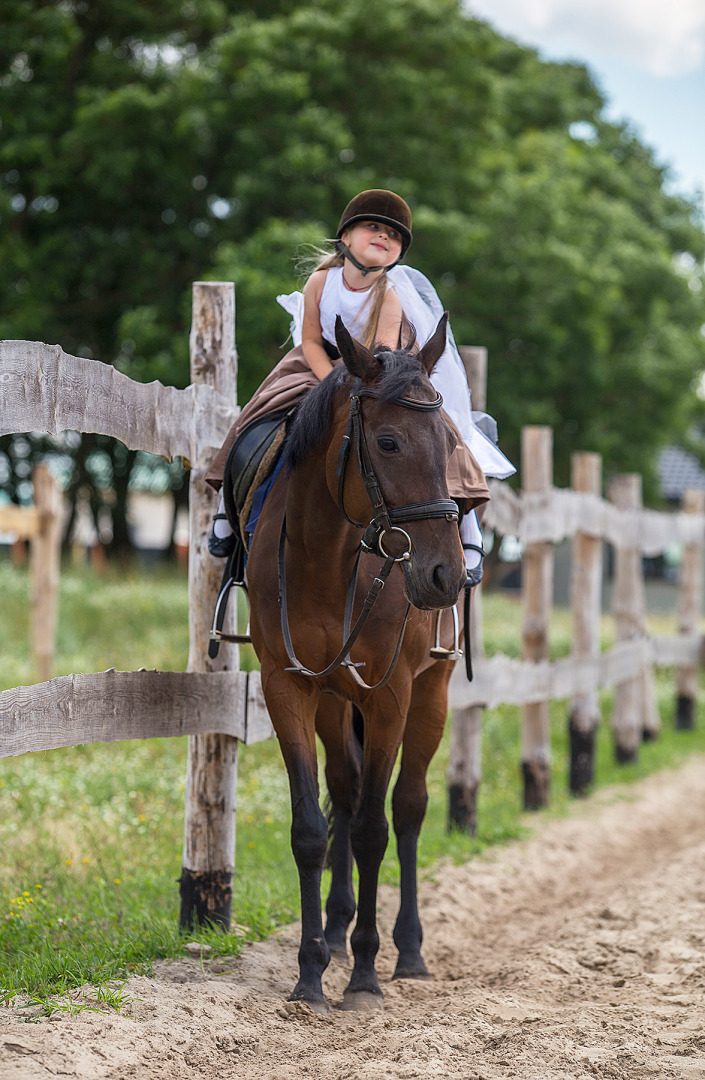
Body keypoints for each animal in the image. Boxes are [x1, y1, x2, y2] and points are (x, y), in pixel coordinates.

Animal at [245, 313, 464, 1010]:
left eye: (448, 442)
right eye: (388, 442)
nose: (445, 574)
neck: (328, 558)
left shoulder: (390, 696)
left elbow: (375, 829)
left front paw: (366, 973)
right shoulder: (289, 687)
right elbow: (311, 829)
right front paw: (311, 971)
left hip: (431, 694)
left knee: (408, 806)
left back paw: (407, 951)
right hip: (334, 699)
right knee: (344, 791)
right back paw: (337, 933)